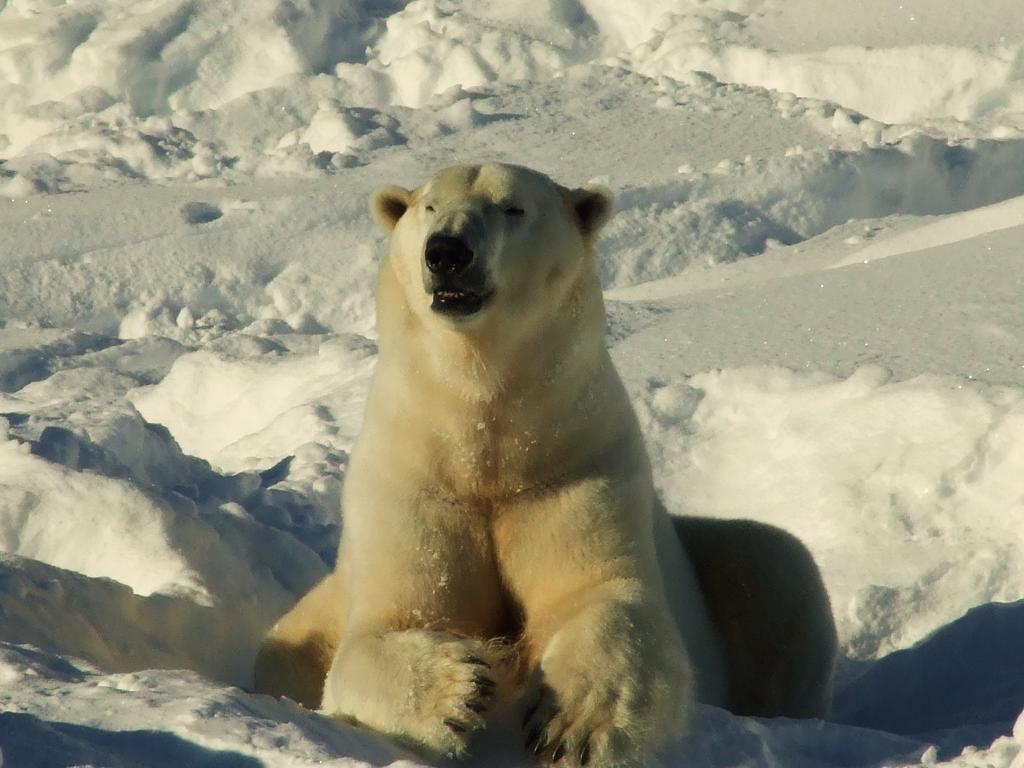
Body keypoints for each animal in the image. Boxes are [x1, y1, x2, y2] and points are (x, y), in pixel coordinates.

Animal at [253, 165, 831, 765]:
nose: (447, 253)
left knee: (777, 566)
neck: (485, 440)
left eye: (511, 208)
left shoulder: (575, 466)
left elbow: (603, 594)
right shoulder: (415, 478)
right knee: (281, 648)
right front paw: (461, 690)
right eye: (429, 207)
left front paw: (570, 726)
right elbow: (391, 623)